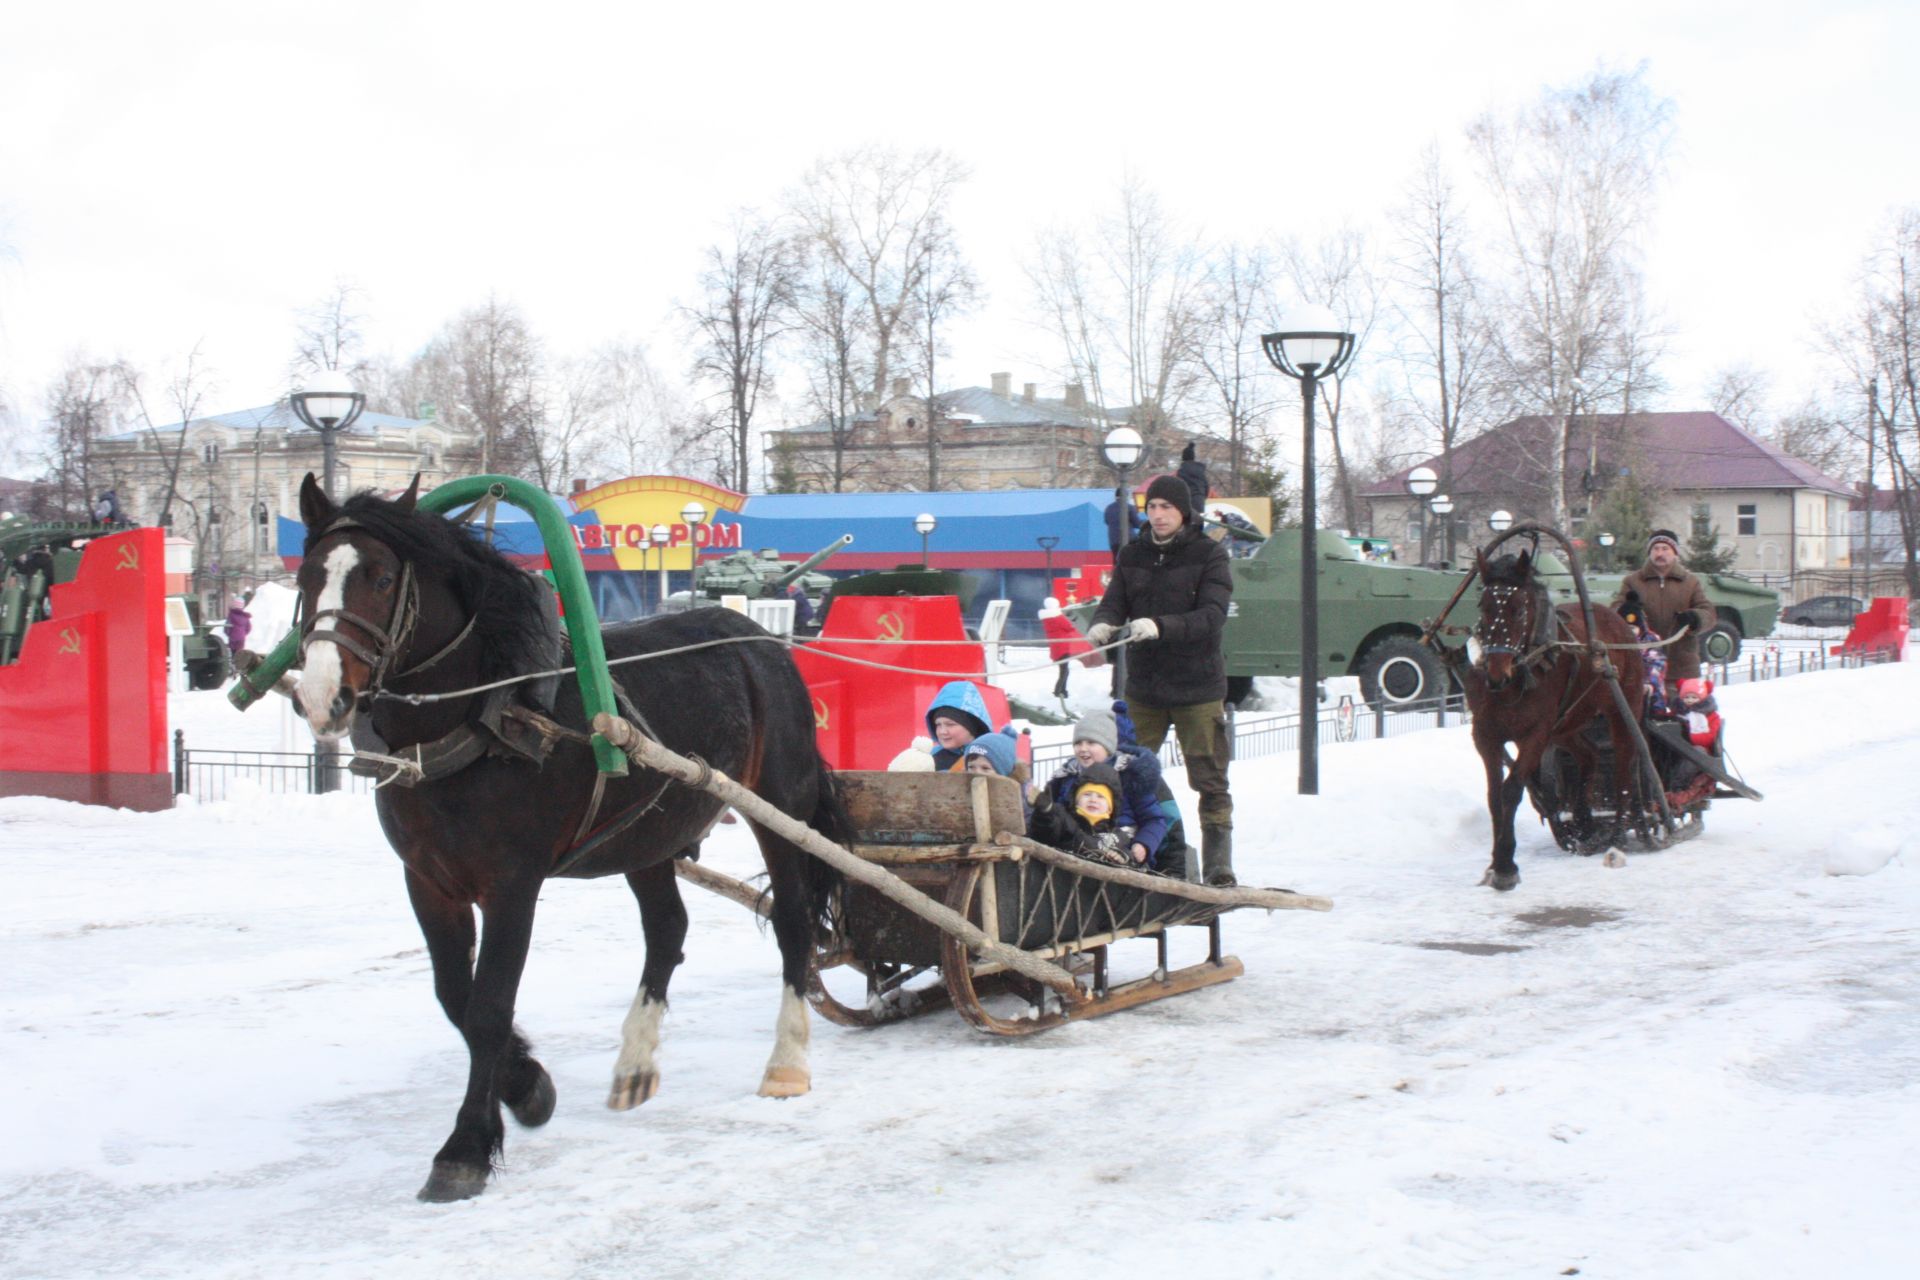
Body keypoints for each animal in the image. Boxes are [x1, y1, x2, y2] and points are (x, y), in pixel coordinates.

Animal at [291, 475, 848, 1205]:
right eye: (306, 577)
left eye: (382, 578)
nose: (324, 694)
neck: (486, 717)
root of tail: (761, 638)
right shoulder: (429, 881)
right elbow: (454, 997)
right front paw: (527, 1087)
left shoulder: (512, 884)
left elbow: (488, 1007)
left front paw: (465, 1148)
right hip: (647, 832)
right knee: (667, 929)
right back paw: (635, 1061)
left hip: (779, 806)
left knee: (791, 921)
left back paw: (786, 1060)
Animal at [1459, 548, 1643, 890]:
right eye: (1484, 607)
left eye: (1519, 610)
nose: (1496, 675)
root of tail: (1615, 619)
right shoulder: (1486, 735)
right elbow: (1494, 795)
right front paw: (1495, 862)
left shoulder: (1535, 734)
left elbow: (1511, 789)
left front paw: (1505, 865)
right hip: (1566, 723)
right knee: (1589, 755)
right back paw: (1583, 824)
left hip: (1623, 706)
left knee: (1625, 764)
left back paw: (1616, 839)